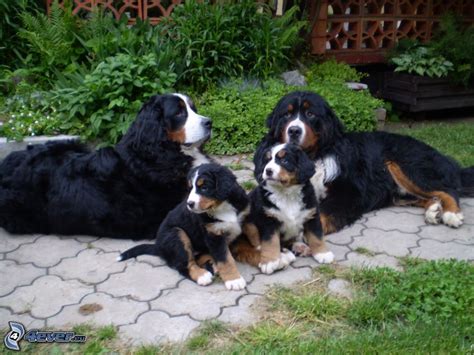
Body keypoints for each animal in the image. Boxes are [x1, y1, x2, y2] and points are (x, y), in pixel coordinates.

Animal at [118, 164, 248, 292]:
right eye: (190, 188)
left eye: (204, 187)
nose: (189, 204)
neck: (222, 207)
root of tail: (158, 246)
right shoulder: (213, 235)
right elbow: (224, 258)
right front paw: (234, 280)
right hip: (176, 234)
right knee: (184, 264)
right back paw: (202, 275)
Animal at [234, 144, 334, 276]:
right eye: (267, 160)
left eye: (285, 161)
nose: (268, 170)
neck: (286, 193)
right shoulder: (268, 219)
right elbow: (271, 242)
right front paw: (270, 261)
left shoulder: (311, 214)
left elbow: (316, 236)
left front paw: (323, 254)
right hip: (247, 219)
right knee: (255, 242)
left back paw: (300, 247)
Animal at [256, 90, 474, 235]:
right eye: (287, 114)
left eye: (310, 114)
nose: (294, 130)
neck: (313, 157)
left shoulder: (349, 191)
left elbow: (323, 213)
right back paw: (434, 210)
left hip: (408, 166)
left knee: (447, 189)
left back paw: (451, 214)